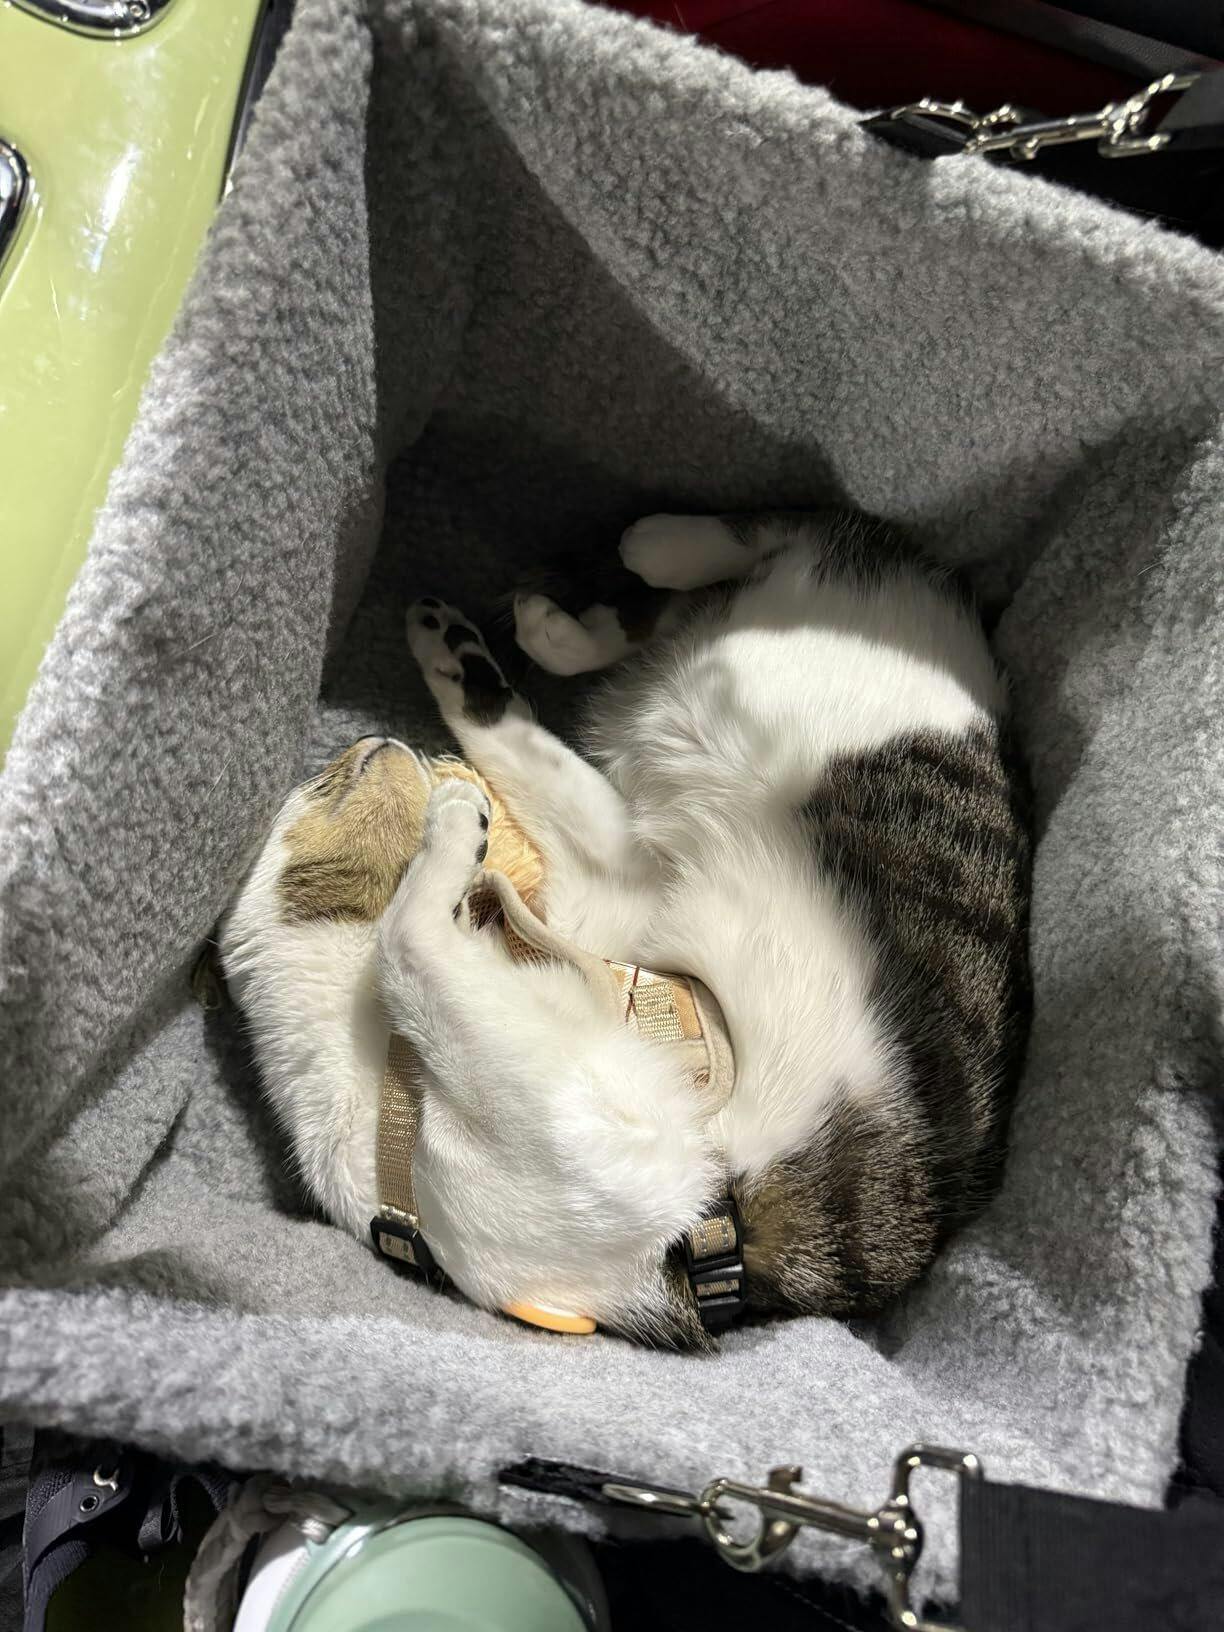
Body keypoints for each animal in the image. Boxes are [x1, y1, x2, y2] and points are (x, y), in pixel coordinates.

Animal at [220, 511, 1032, 1349]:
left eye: (327, 780)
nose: (366, 744)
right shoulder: (609, 915)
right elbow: (409, 934)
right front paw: (452, 819)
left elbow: (405, 936)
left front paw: (452, 819)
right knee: (726, 579)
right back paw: (508, 635)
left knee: (759, 544)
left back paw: (635, 559)